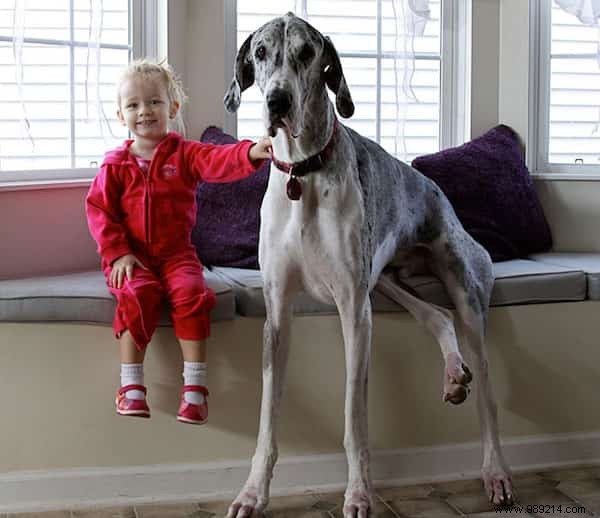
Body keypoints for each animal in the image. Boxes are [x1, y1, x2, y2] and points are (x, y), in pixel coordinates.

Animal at [223, 13, 512, 518]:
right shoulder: (277, 313)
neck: (303, 173)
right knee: (436, 315)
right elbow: (267, 420)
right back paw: (453, 375)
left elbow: (354, 419)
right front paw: (253, 493)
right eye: (260, 53)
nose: (278, 100)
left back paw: (495, 471)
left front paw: (359, 493)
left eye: (307, 53)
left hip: (465, 289)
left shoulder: (355, 312)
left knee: (488, 396)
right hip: (386, 280)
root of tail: (436, 190)